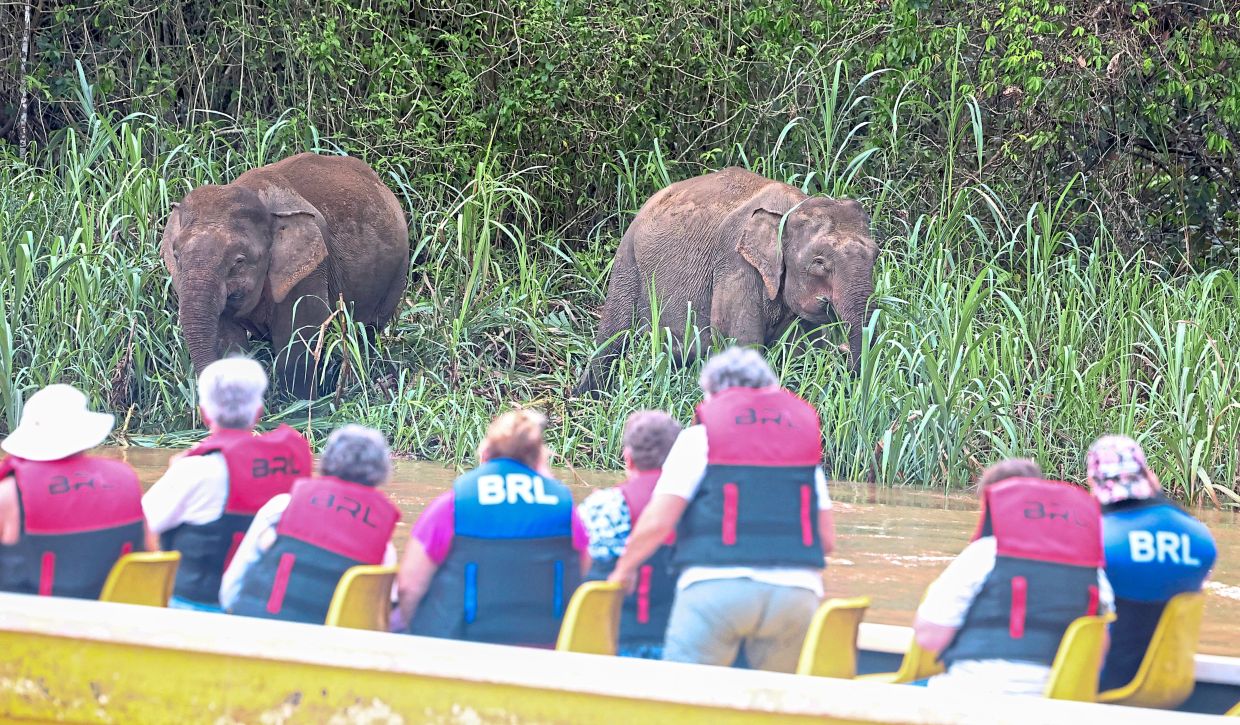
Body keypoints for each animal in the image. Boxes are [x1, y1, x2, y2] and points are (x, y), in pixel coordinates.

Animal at [161, 152, 410, 398]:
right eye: (177, 256)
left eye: (239, 261)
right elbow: (228, 342)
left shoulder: (310, 271)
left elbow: (297, 343)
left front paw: (303, 404)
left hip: (398, 271)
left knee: (368, 330)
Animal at [576, 167, 877, 393]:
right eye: (819, 263)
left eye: (876, 255)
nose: (846, 370)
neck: (792, 208)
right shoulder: (734, 263)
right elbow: (743, 342)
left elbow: (801, 349)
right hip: (628, 261)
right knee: (612, 337)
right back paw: (588, 395)